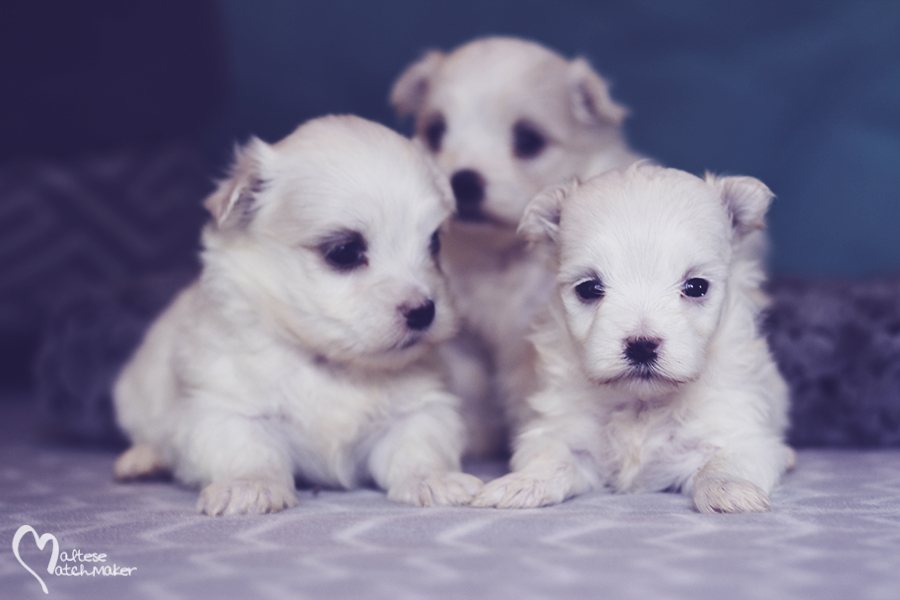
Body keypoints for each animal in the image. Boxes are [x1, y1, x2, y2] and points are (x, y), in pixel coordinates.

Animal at [113, 115, 486, 512]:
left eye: (435, 243)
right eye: (344, 252)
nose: (424, 311)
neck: (331, 365)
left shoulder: (422, 409)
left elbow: (418, 448)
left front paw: (436, 479)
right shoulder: (225, 409)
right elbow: (250, 452)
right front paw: (248, 487)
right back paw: (141, 460)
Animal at [392, 36, 640, 454]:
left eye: (528, 140)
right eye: (435, 132)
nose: (462, 180)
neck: (497, 254)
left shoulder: (536, 333)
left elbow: (532, 390)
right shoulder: (463, 338)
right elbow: (470, 386)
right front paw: (472, 438)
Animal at [474, 163, 792, 510]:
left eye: (697, 286)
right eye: (589, 288)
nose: (641, 346)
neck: (641, 404)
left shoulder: (737, 432)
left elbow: (723, 462)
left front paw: (729, 489)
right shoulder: (563, 432)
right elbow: (551, 458)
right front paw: (520, 484)